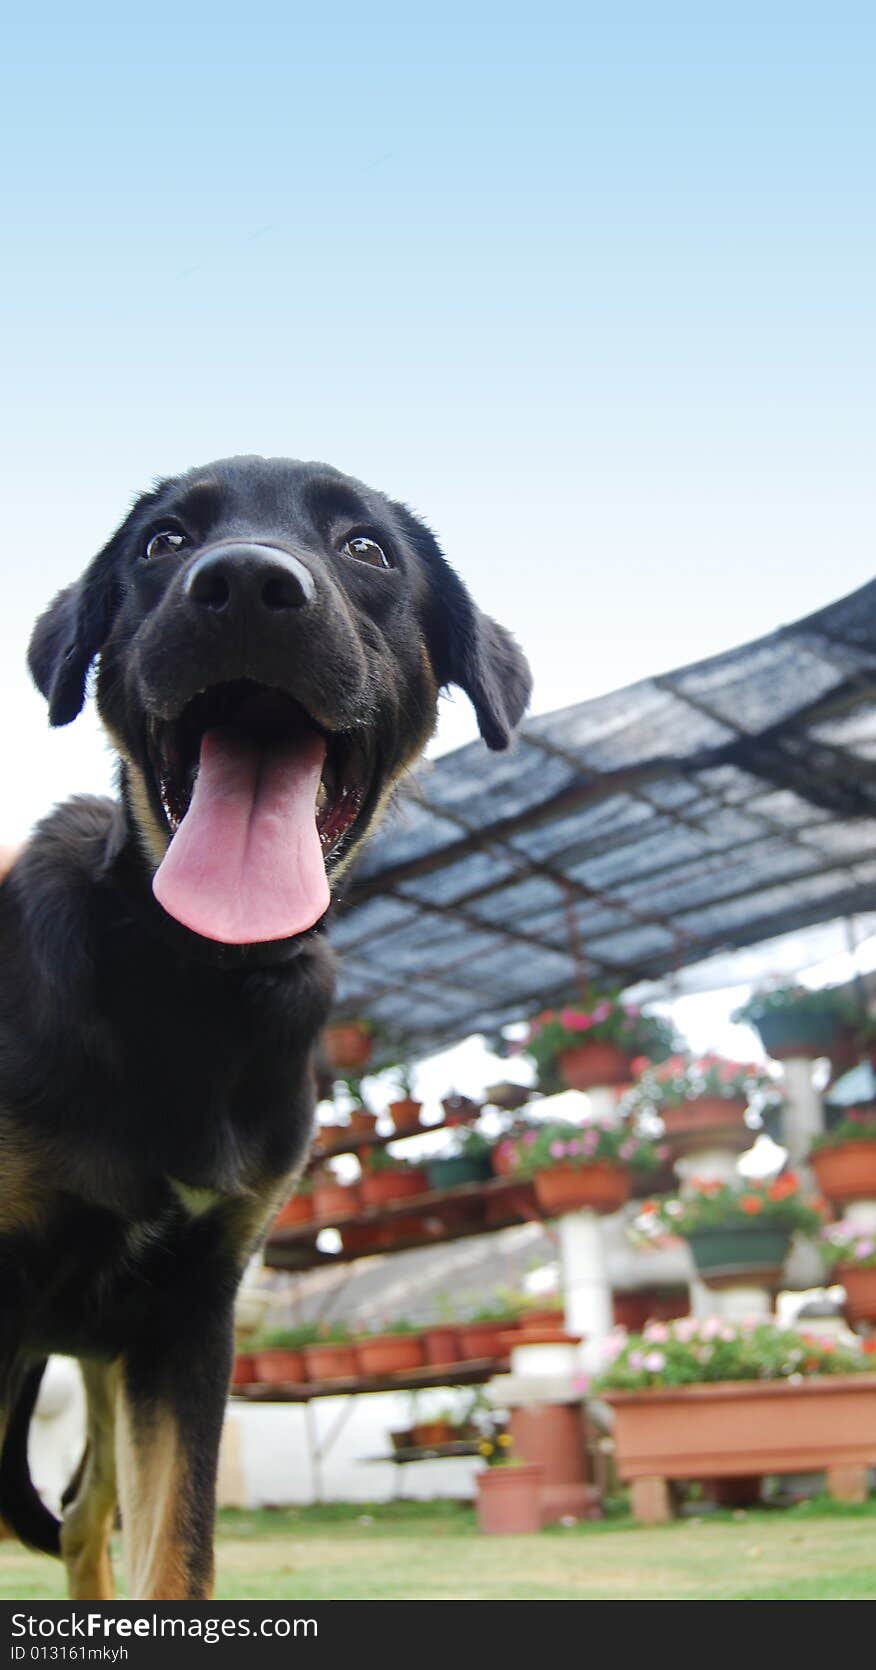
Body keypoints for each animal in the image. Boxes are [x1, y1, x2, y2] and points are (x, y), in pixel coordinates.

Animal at [0, 454, 527, 1589]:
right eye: (161, 542)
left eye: (366, 547)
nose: (244, 584)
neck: (198, 981)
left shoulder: (189, 1318)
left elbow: (178, 1552)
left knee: (83, 1514)